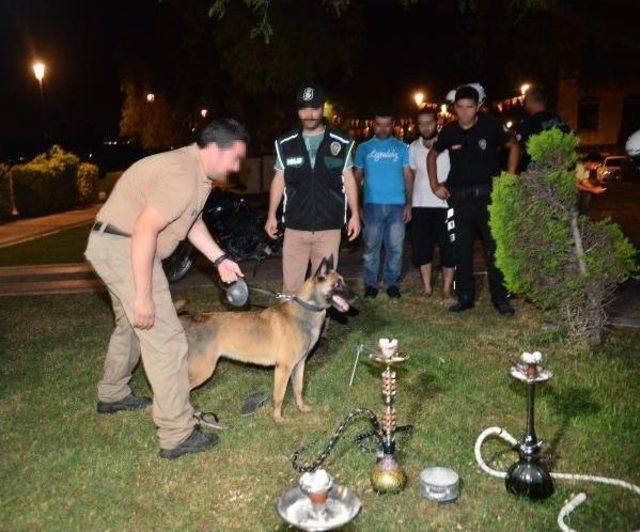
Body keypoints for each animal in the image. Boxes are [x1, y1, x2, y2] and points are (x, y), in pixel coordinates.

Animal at [180, 258, 350, 424]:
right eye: (337, 284)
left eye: (342, 282)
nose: (353, 296)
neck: (304, 312)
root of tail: (190, 319)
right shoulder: (283, 368)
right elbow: (279, 396)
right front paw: (277, 418)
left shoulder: (299, 364)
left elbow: (298, 389)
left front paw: (301, 408)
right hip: (203, 370)